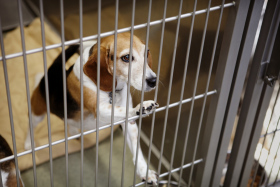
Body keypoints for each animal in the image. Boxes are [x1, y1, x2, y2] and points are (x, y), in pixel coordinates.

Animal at [23, 32, 160, 184]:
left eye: (146, 52)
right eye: (126, 57)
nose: (153, 80)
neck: (113, 90)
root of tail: (53, 71)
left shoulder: (129, 124)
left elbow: (137, 150)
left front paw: (145, 172)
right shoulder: (100, 110)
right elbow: (122, 110)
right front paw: (142, 107)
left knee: (69, 121)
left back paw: (74, 131)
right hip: (37, 112)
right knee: (30, 126)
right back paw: (28, 144)